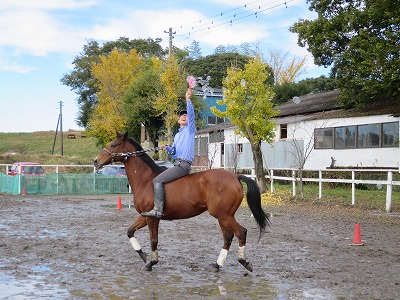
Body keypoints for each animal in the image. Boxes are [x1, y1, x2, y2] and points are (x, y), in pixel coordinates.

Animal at [93, 132, 268, 270]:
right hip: (223, 216)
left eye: (113, 144)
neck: (146, 180)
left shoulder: (153, 218)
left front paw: (151, 262)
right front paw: (142, 254)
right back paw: (218, 264)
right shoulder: (145, 216)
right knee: (228, 237)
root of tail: (235, 176)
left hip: (224, 215)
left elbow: (153, 240)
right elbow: (130, 231)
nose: (95, 161)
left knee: (241, 233)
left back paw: (243, 261)